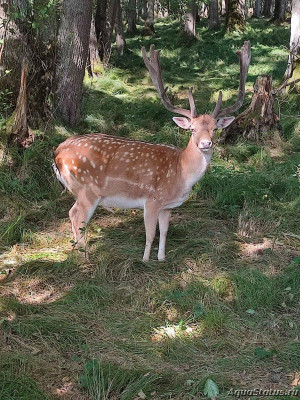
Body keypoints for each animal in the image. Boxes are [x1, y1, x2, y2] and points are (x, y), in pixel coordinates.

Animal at [52, 40, 251, 260]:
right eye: (192, 129)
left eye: (215, 129)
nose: (206, 144)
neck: (180, 173)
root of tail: (57, 152)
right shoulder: (152, 200)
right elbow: (150, 233)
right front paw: (145, 260)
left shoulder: (167, 206)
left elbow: (164, 231)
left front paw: (162, 258)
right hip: (86, 190)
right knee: (76, 216)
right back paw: (84, 256)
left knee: (72, 214)